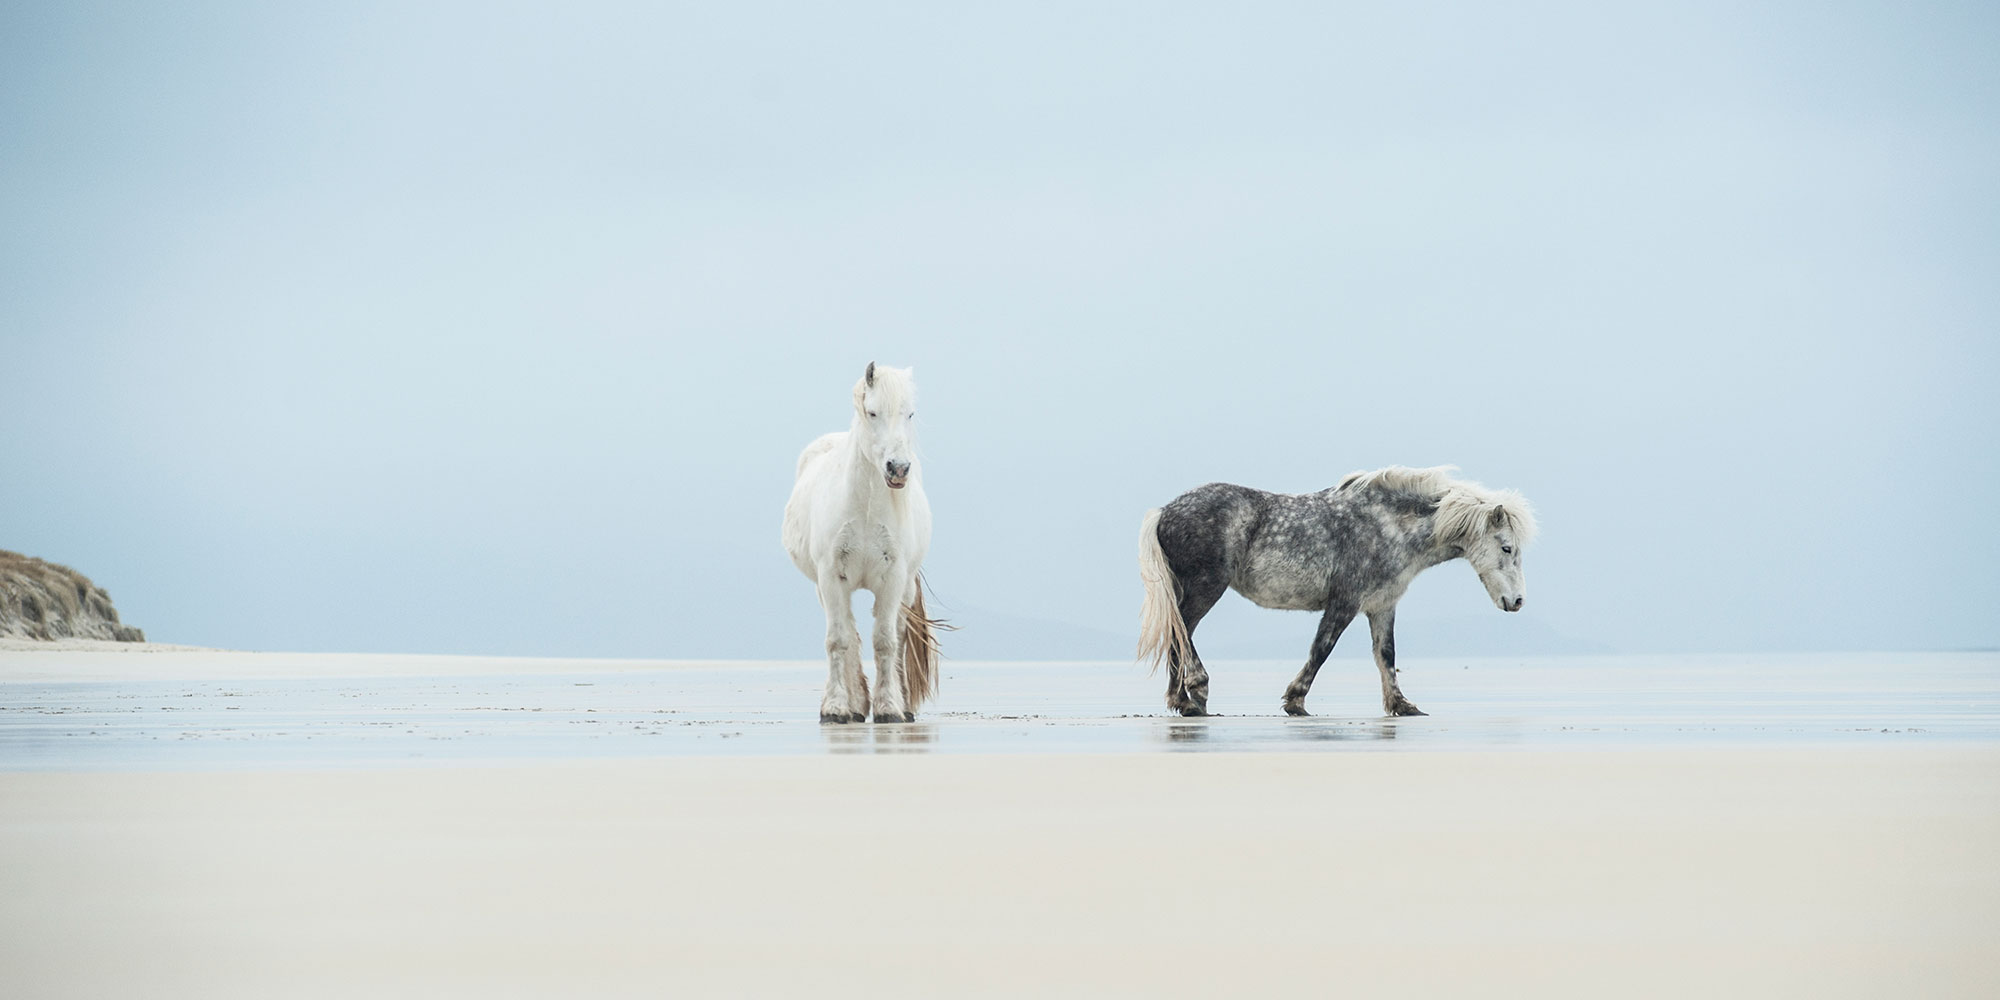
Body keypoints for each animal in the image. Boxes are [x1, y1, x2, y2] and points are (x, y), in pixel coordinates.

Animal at [782, 362, 945, 724]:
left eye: (909, 413)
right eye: (872, 412)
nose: (898, 469)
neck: (867, 507)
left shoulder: (893, 578)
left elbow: (886, 641)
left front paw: (889, 708)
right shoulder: (831, 576)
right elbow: (838, 640)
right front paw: (835, 707)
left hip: (904, 589)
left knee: (898, 634)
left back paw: (903, 704)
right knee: (850, 635)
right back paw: (855, 705)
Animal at [1136, 465, 1536, 718]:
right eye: (1506, 548)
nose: (1516, 601)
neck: (1388, 526)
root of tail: (1166, 511)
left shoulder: (1382, 605)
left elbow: (1386, 656)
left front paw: (1402, 705)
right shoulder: (1345, 603)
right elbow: (1321, 649)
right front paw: (1295, 701)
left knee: (1178, 633)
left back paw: (1183, 701)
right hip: (1206, 587)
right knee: (1183, 631)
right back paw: (1197, 691)